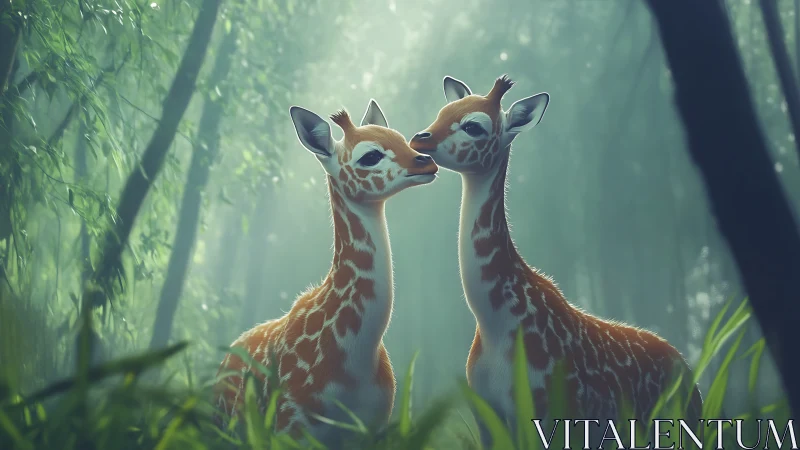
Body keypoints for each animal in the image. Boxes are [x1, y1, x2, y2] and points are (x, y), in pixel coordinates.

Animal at [409, 75, 702, 447]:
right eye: (442, 111)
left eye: (474, 126)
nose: (421, 138)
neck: (495, 326)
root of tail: (691, 375)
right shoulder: (486, 412)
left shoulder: (551, 408)